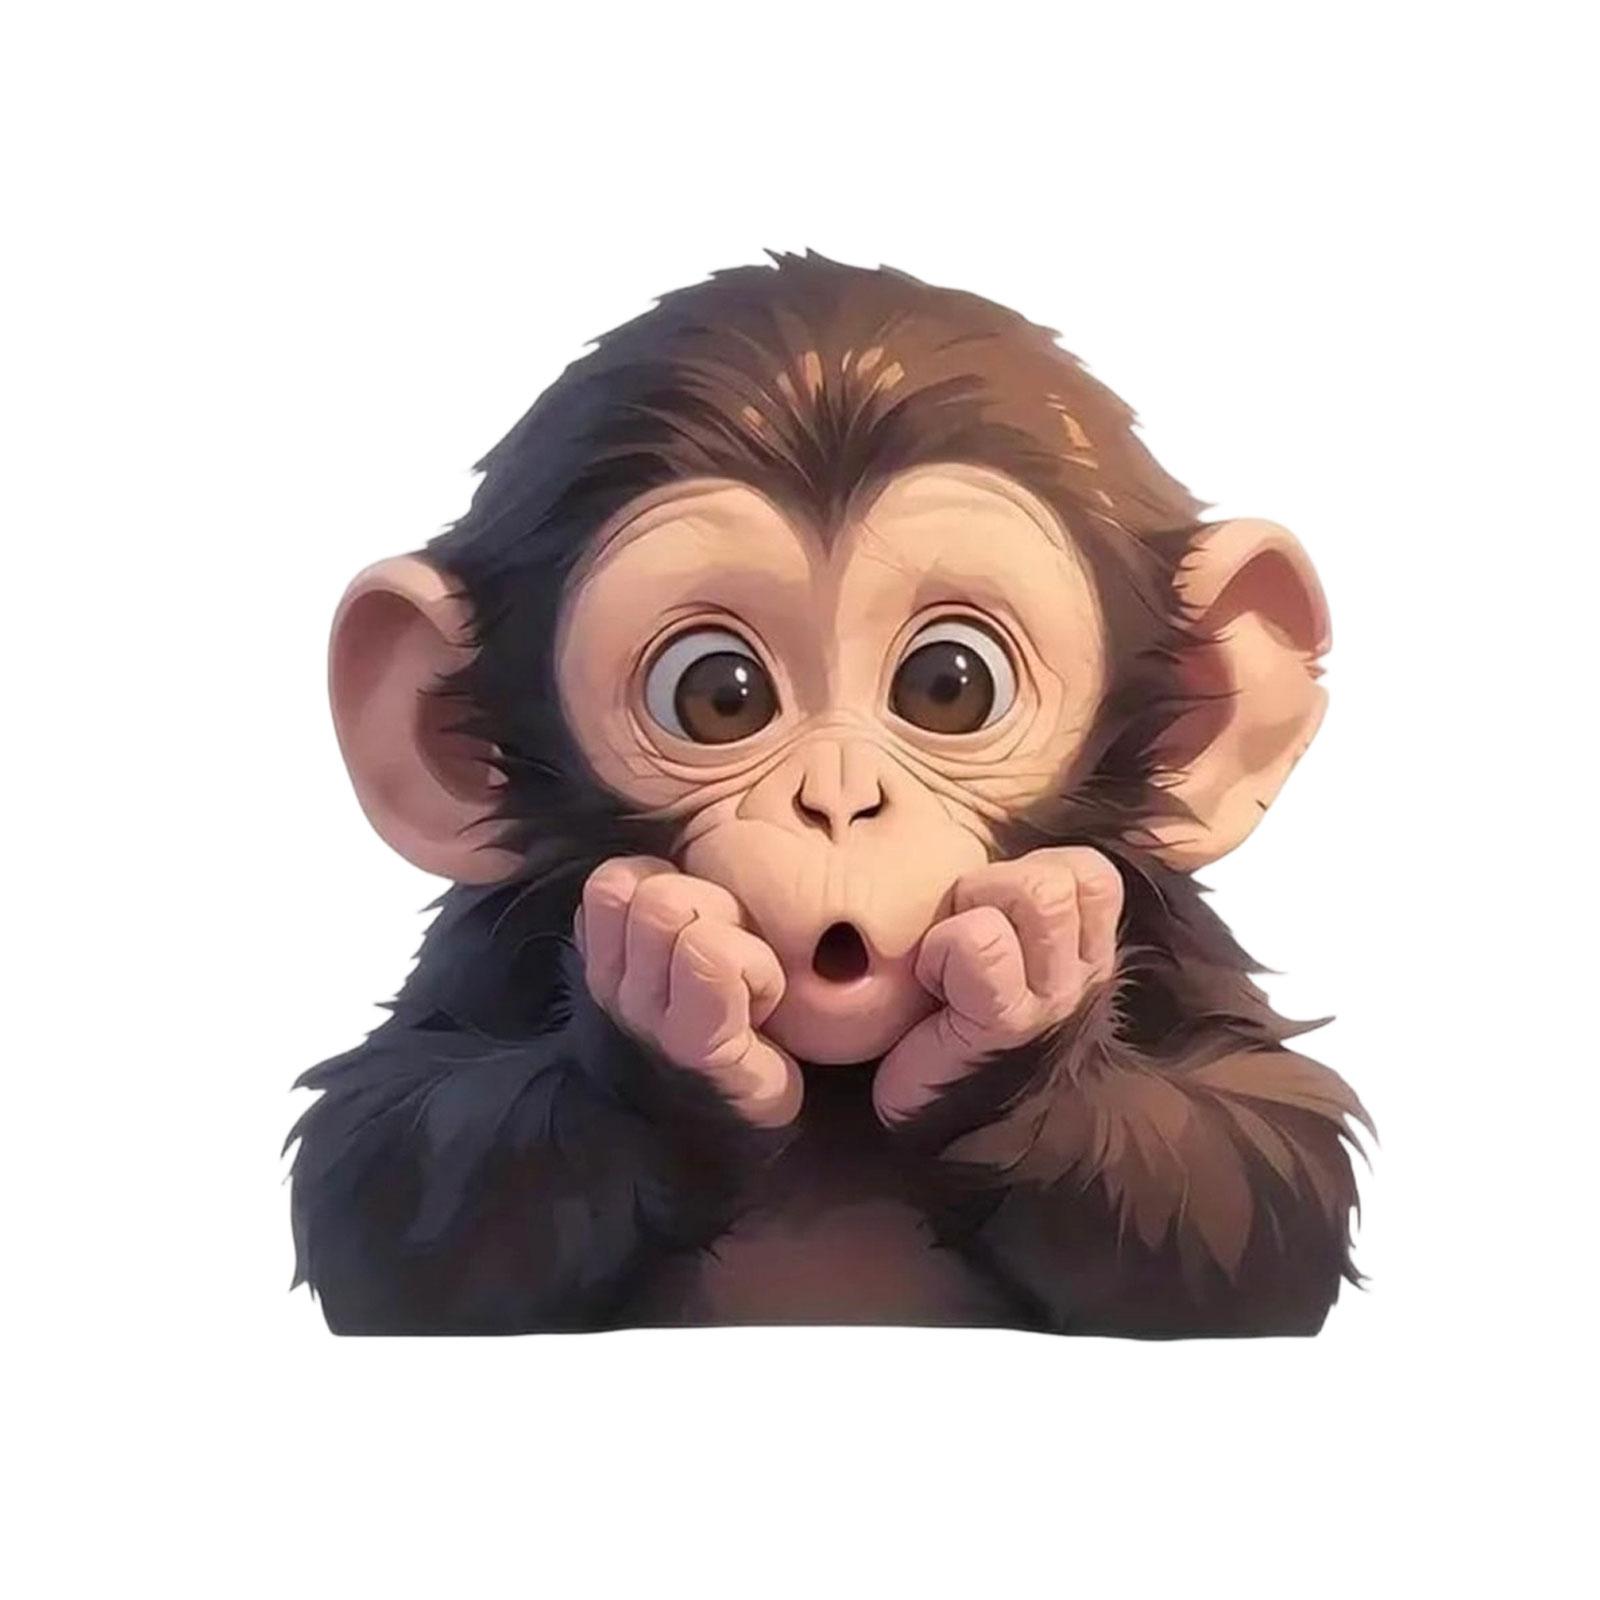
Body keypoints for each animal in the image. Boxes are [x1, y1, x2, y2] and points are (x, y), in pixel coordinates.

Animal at [288, 251, 1371, 1338]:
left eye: (948, 685)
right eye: (720, 696)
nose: (840, 804)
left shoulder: (1168, 924)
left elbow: (1267, 1170)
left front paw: (1016, 1009)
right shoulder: (490, 935)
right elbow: (377, 1177)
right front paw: (665, 1015)